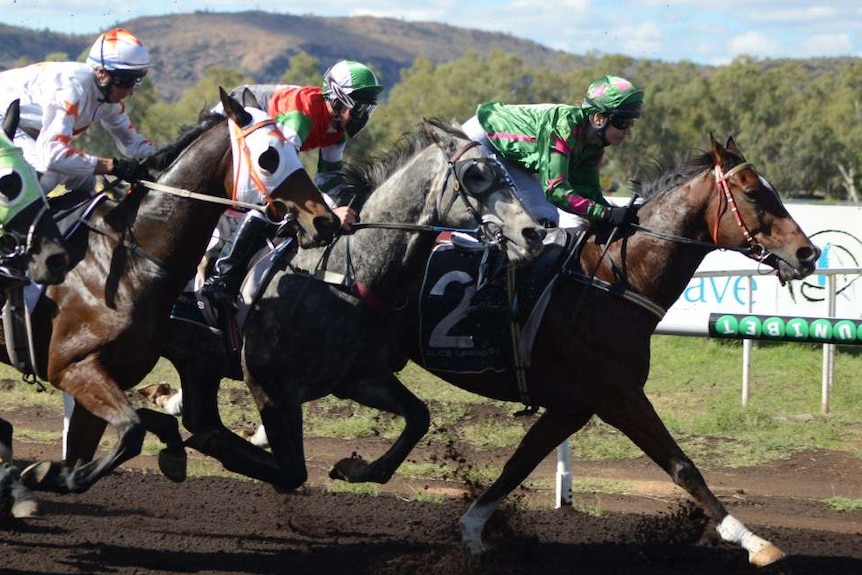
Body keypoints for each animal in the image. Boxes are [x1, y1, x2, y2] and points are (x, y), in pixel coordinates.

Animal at [10, 88, 340, 498]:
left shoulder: (110, 372)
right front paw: (53, 476)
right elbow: (131, 433)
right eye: (269, 156)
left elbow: (131, 430)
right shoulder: (73, 367)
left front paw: (53, 474)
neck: (132, 260)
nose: (325, 221)